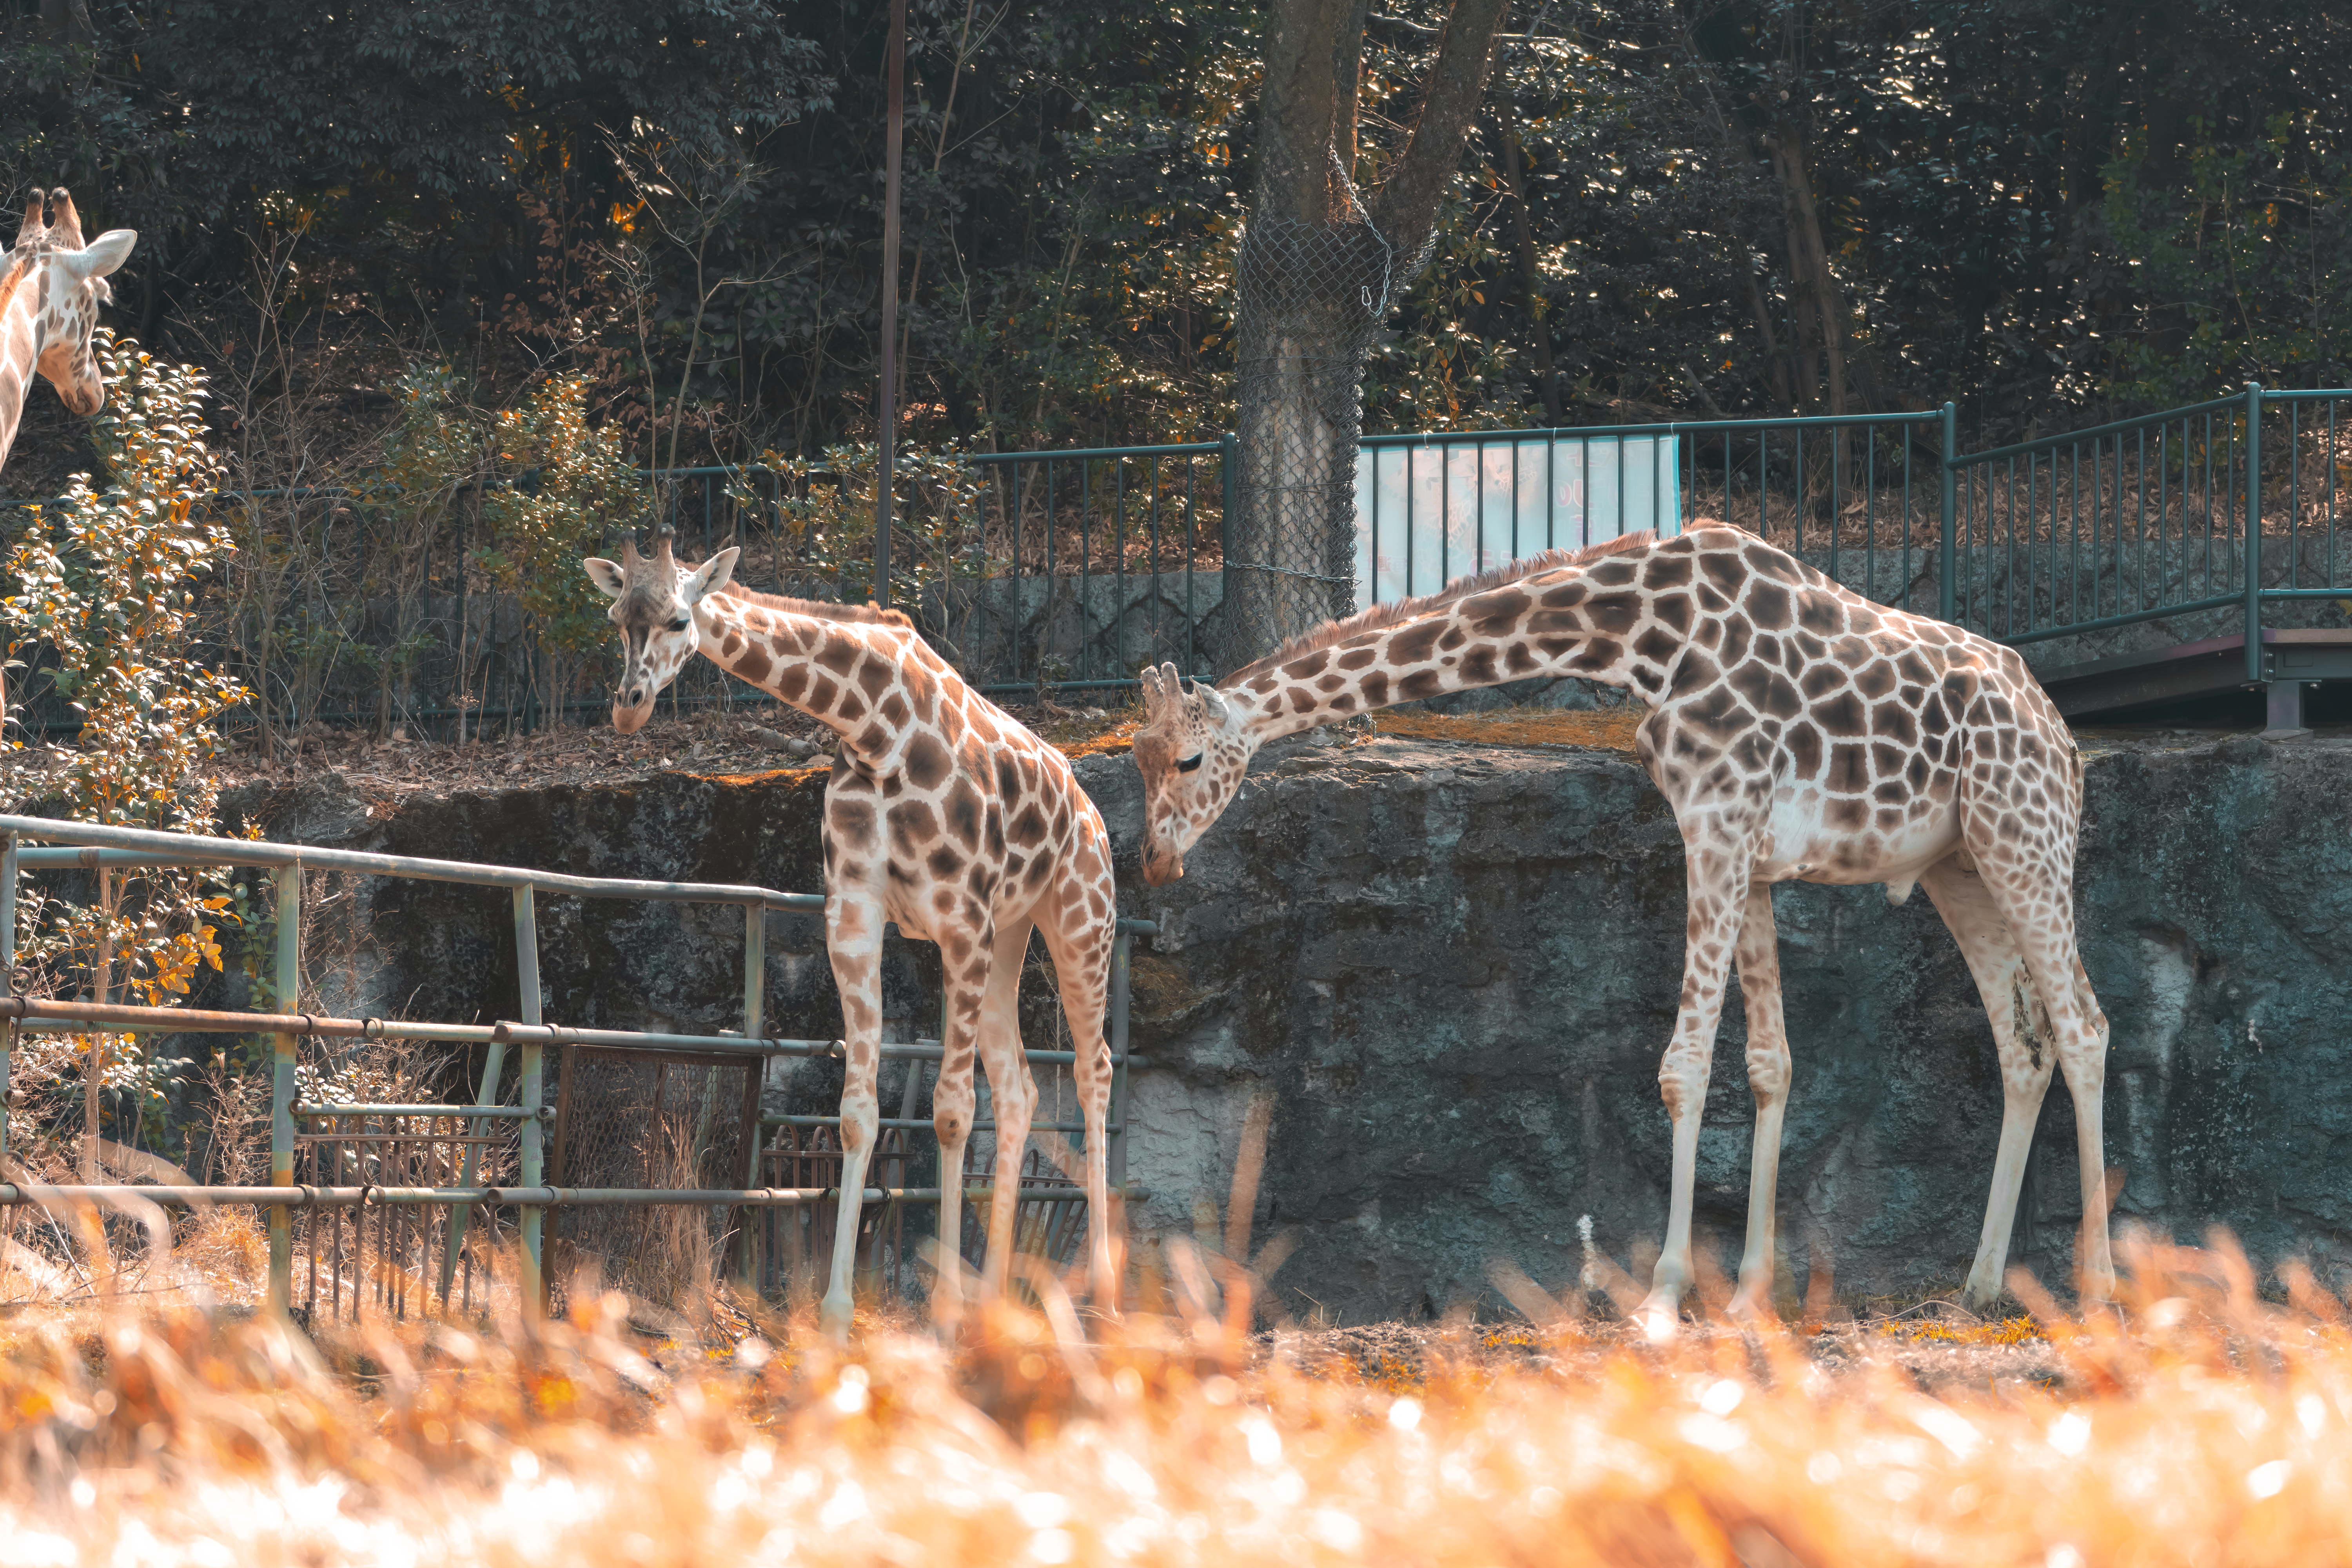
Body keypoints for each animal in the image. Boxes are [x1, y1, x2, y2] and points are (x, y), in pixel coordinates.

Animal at [583, 533, 1122, 1338]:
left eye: (680, 619)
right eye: (619, 619)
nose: (629, 709)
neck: (876, 730)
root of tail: (1088, 804)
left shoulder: (960, 919)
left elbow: (951, 1113)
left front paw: (943, 1312)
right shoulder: (856, 915)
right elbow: (857, 1114)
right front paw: (838, 1314)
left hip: (1081, 920)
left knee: (1094, 1072)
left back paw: (1106, 1301)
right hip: (1011, 935)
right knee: (1021, 1088)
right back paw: (997, 1303)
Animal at [1131, 524, 2112, 1331]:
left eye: (1189, 759)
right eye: (1137, 759)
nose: (1153, 860)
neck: (1644, 640)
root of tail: (2060, 730)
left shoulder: (1715, 825)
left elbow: (1685, 1067)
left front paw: (1667, 1291)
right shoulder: (1745, 852)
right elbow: (1770, 1062)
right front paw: (1751, 1292)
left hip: (2026, 836)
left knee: (2085, 1025)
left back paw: (2100, 1281)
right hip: (1960, 862)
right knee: (2023, 1044)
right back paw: (1981, 1284)